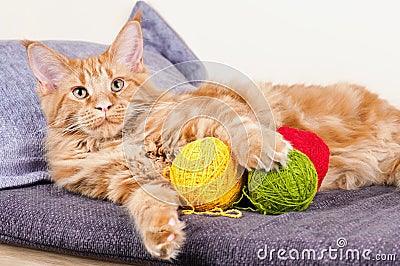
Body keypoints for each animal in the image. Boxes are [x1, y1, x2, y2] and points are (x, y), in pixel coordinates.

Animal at [25, 17, 400, 258]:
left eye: (117, 84)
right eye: (80, 92)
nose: (103, 106)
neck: (119, 141)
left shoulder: (211, 111)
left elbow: (238, 130)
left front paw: (268, 149)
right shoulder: (129, 183)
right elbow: (148, 206)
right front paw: (162, 235)